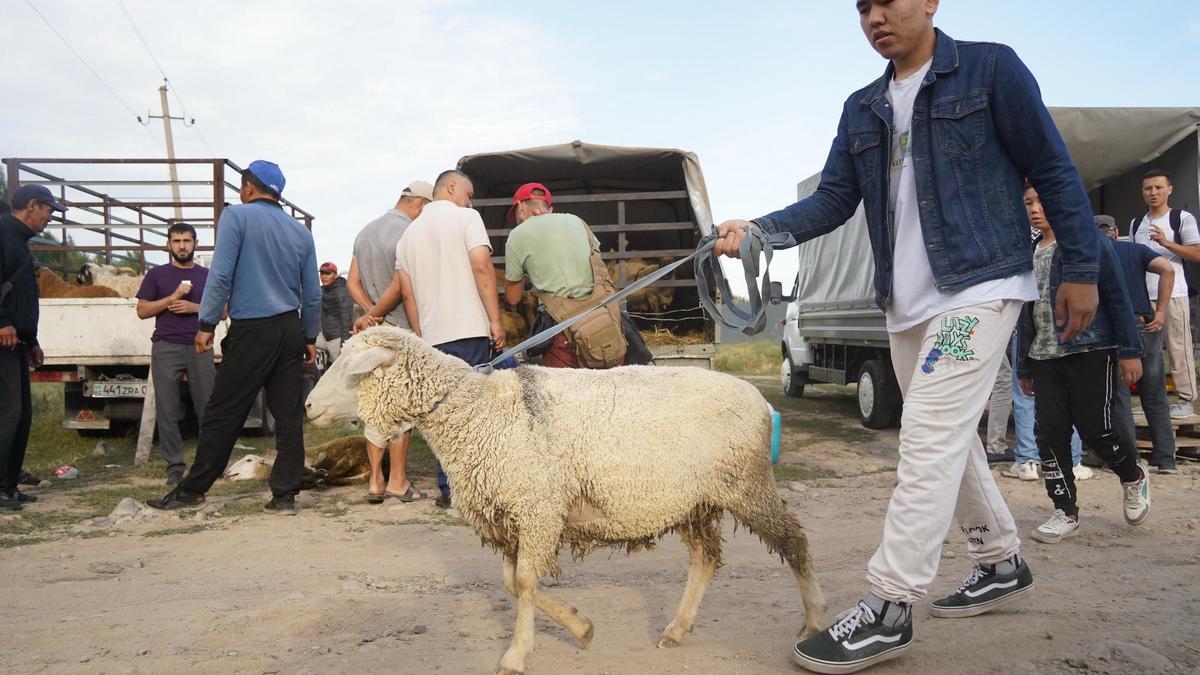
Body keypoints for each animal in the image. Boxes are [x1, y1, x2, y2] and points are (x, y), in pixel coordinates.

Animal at [304, 324, 825, 667]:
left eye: (351, 368)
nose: (307, 406)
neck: (475, 413)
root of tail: (758, 400)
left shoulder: (538, 507)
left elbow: (525, 583)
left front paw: (517, 654)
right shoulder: (517, 513)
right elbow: (514, 582)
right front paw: (580, 626)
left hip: (746, 483)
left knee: (795, 542)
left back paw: (815, 623)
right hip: (695, 500)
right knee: (706, 558)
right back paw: (676, 629)